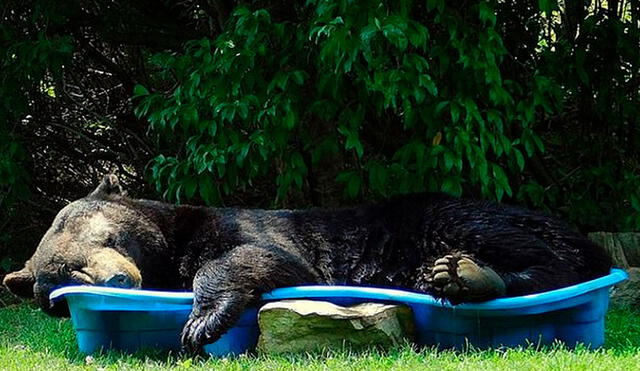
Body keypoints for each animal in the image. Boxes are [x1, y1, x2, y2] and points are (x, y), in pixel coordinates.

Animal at [2, 174, 612, 352]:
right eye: (61, 278)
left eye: (105, 238)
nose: (116, 278)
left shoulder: (241, 227)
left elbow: (259, 257)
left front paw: (201, 322)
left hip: (457, 216)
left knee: (542, 252)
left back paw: (466, 272)